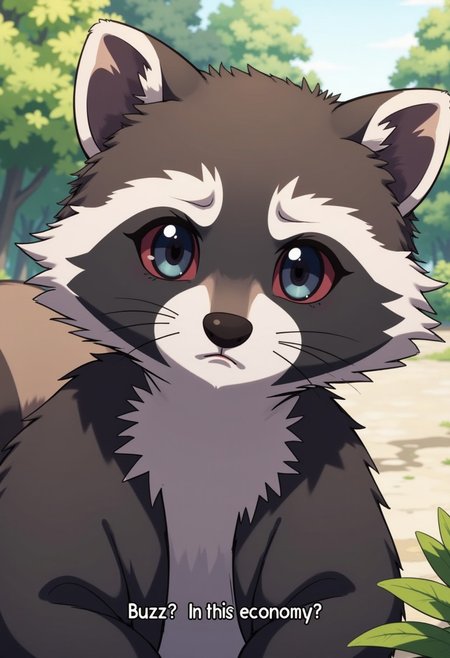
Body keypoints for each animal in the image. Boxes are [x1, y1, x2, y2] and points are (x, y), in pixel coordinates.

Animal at [1, 19, 449, 658]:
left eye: (303, 271)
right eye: (169, 248)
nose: (227, 328)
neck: (212, 417)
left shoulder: (320, 465)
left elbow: (347, 598)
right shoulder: (75, 451)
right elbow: (51, 592)